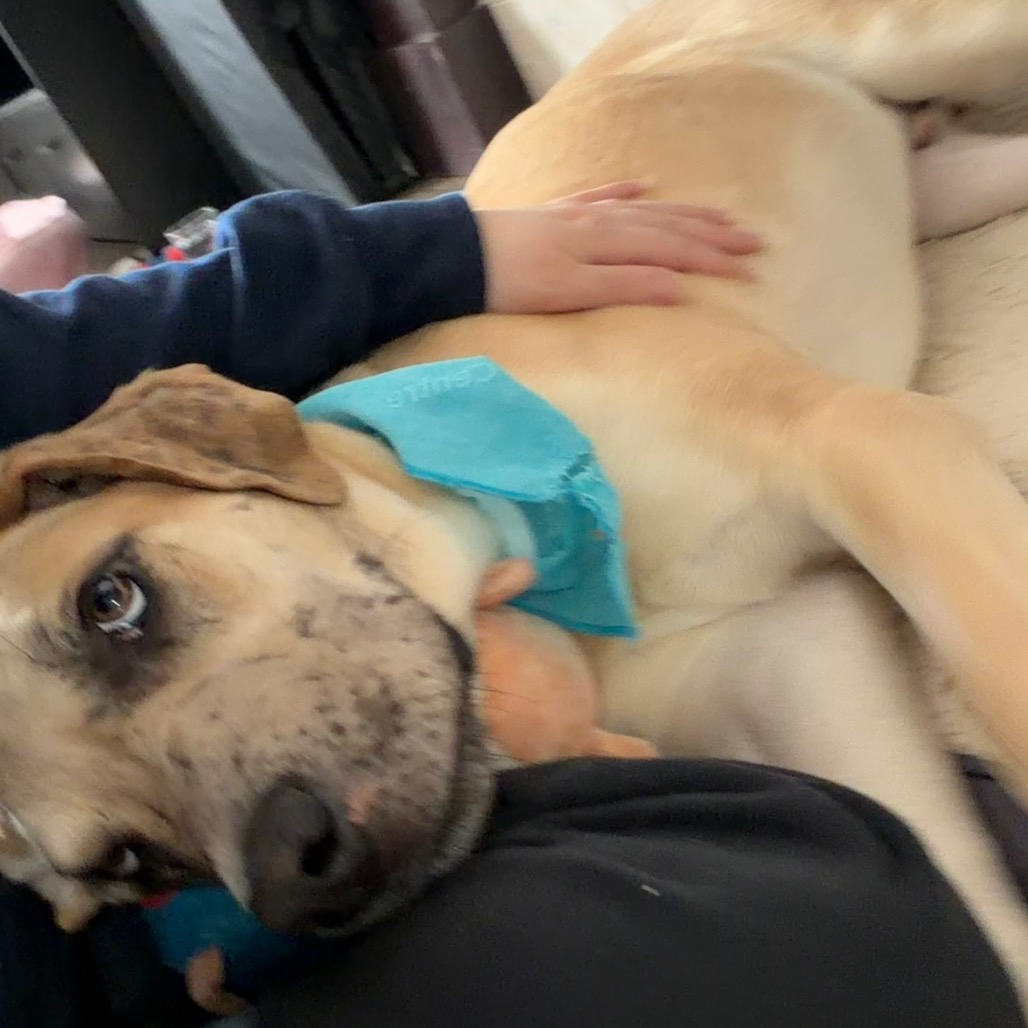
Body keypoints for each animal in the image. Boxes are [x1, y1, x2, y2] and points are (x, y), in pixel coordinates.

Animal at [5, 0, 1028, 1007]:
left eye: (112, 602)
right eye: (130, 865)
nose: (304, 878)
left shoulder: (863, 442)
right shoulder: (799, 659)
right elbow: (973, 900)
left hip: (937, 42)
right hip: (959, 181)